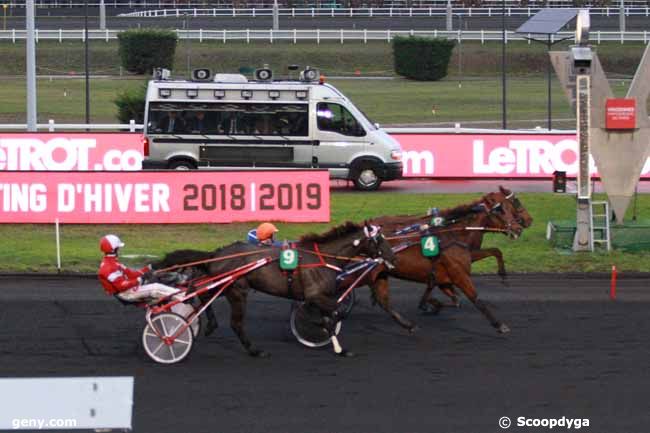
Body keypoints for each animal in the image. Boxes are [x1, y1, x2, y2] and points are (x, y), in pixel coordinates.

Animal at [154, 221, 394, 356]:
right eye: (378, 240)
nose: (392, 257)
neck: (322, 257)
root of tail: (217, 253)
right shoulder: (315, 295)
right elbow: (335, 312)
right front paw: (325, 333)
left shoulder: (318, 296)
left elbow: (331, 315)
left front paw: (336, 346)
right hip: (237, 290)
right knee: (234, 322)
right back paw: (254, 350)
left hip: (225, 285)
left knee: (202, 293)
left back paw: (207, 323)